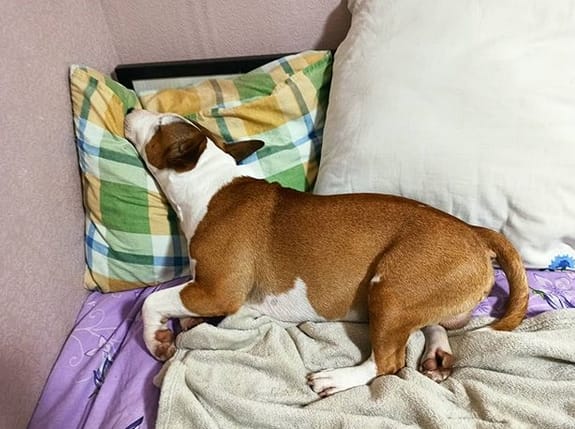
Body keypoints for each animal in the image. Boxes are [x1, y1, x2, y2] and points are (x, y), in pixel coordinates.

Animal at [124, 109, 529, 397]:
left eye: (158, 124)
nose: (129, 109)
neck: (210, 183)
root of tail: (472, 231)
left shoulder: (216, 290)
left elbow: (151, 301)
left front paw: (156, 338)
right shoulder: (208, 293)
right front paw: (185, 323)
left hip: (392, 290)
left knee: (388, 361)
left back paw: (337, 378)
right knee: (433, 324)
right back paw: (437, 355)